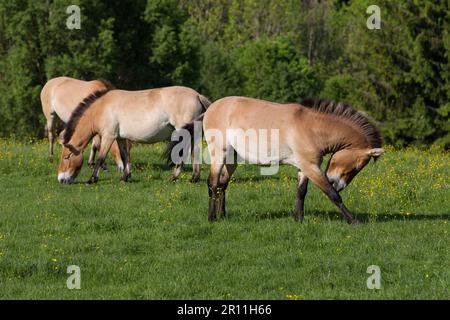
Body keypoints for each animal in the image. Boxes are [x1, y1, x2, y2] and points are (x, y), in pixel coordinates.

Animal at [59, 85, 211, 185]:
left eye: (66, 157)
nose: (61, 179)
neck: (102, 108)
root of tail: (197, 95)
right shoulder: (120, 138)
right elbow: (125, 156)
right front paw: (124, 177)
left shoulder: (108, 136)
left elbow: (100, 159)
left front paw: (92, 180)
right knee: (194, 152)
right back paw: (194, 178)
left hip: (184, 132)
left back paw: (176, 177)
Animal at [167, 96, 384, 224]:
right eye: (357, 166)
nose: (338, 183)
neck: (313, 128)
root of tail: (211, 108)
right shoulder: (311, 167)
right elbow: (331, 195)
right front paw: (353, 220)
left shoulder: (304, 167)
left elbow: (301, 191)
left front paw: (298, 218)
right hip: (219, 153)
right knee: (212, 183)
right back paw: (212, 218)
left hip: (232, 158)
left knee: (222, 184)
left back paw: (223, 215)